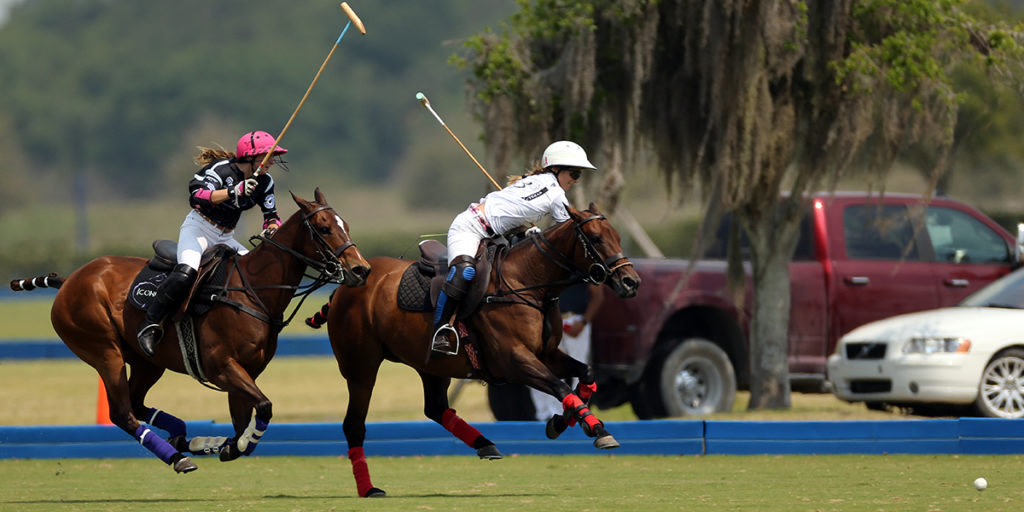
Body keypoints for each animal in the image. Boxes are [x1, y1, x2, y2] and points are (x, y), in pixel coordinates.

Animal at [9, 190, 372, 473]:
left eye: (346, 224)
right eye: (324, 228)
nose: (361, 270)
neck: (252, 290)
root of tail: (69, 279)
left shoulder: (247, 372)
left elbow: (243, 422)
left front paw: (220, 444)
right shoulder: (223, 367)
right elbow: (264, 408)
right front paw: (224, 445)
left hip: (146, 361)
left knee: (137, 403)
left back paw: (185, 437)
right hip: (104, 351)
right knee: (123, 413)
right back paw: (178, 457)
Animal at [321, 202, 638, 495]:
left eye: (617, 236)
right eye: (596, 238)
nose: (631, 281)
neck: (528, 283)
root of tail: (347, 283)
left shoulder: (546, 354)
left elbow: (585, 374)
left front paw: (562, 422)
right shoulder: (514, 360)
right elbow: (560, 386)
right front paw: (596, 428)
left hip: (430, 364)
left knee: (435, 407)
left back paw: (485, 444)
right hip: (361, 367)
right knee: (354, 424)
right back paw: (368, 488)